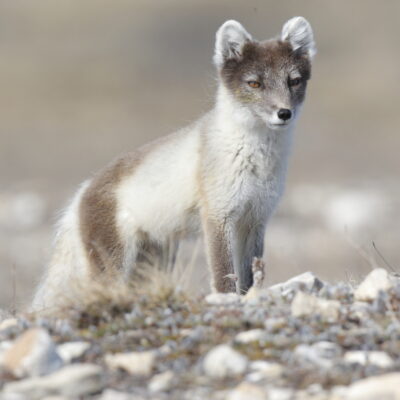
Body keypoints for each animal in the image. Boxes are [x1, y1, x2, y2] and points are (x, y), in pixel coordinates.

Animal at [31, 17, 316, 310]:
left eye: (294, 81)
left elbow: (249, 274)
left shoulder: (255, 218)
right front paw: (226, 299)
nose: (284, 113)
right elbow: (224, 273)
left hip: (154, 260)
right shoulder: (218, 215)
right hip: (114, 262)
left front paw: (250, 295)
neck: (257, 159)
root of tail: (81, 193)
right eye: (255, 84)